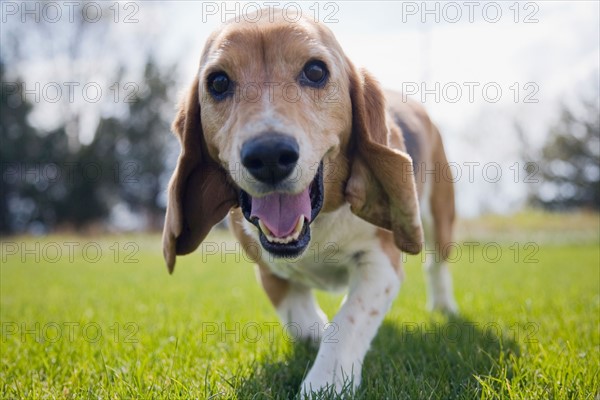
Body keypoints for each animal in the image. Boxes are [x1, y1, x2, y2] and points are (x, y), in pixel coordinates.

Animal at [162, 9, 458, 396]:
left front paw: (324, 385)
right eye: (219, 82)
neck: (318, 226)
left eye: (316, 72)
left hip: (441, 217)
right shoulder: (268, 268)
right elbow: (303, 323)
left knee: (437, 265)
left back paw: (445, 307)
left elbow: (346, 324)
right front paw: (316, 337)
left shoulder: (382, 262)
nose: (269, 155)